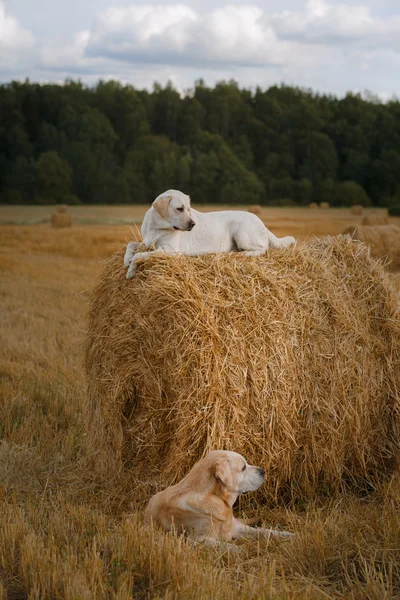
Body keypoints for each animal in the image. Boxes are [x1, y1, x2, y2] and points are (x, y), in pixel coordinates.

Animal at [125, 190, 296, 278]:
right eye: (179, 209)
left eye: (188, 209)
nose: (193, 224)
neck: (156, 226)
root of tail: (262, 222)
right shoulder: (145, 242)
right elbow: (131, 245)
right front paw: (127, 260)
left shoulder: (170, 250)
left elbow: (138, 255)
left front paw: (131, 271)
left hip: (241, 232)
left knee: (262, 249)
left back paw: (245, 254)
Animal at [144, 450, 294, 548]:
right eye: (243, 467)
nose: (263, 471)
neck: (215, 498)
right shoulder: (195, 539)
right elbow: (227, 546)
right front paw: (240, 551)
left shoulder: (236, 528)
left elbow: (266, 531)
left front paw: (289, 534)